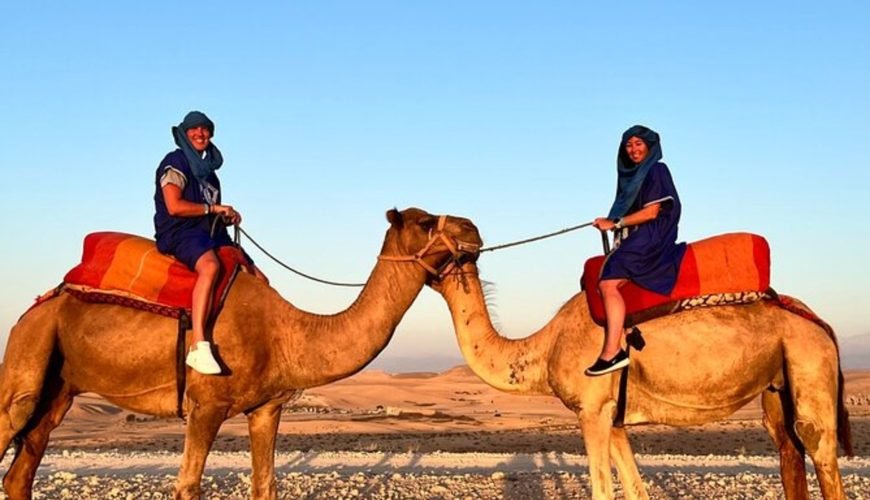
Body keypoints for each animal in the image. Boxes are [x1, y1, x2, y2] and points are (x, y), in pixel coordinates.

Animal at [0, 207, 483, 500]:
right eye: (425, 222)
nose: (473, 228)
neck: (285, 332)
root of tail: (39, 303)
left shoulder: (267, 407)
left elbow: (265, 484)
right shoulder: (206, 405)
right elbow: (188, 485)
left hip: (59, 385)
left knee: (23, 467)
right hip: (28, 355)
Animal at [430, 258, 852, 500]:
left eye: (427, 224)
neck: (546, 346)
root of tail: (817, 320)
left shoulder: (592, 410)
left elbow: (602, 489)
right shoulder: (613, 416)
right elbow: (634, 486)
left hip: (809, 357)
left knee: (816, 443)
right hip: (777, 381)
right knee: (787, 446)